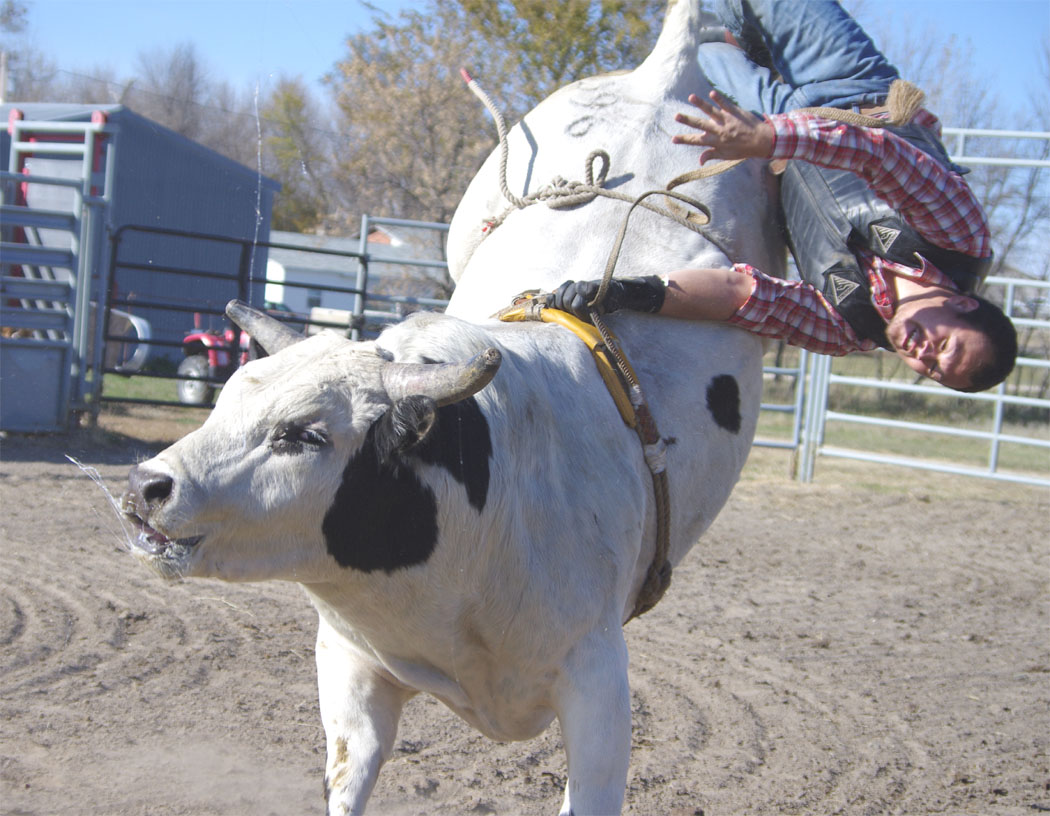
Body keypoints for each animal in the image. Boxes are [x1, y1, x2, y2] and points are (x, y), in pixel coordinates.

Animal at [120, 1, 785, 814]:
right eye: (222, 402)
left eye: (305, 433)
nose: (147, 486)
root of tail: (667, 70)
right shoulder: (349, 667)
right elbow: (350, 776)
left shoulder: (600, 685)